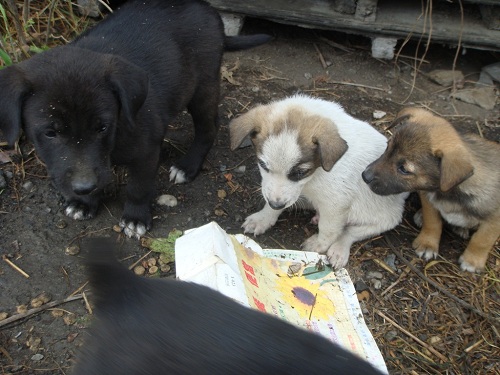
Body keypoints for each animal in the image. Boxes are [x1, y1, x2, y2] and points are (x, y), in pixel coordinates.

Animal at [0, 0, 272, 239]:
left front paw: (135, 217)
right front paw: (84, 202)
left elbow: (139, 187)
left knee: (209, 126)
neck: (117, 135)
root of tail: (207, 8)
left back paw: (188, 166)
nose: (84, 186)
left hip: (203, 85)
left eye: (102, 127)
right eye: (50, 133)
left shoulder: (146, 151)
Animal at [229, 94, 408, 270]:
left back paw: (338, 250)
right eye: (263, 165)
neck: (314, 176)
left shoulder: (336, 204)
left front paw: (319, 245)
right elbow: (271, 202)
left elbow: (329, 229)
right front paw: (263, 218)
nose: (276, 205)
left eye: (300, 172)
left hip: (385, 220)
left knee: (348, 232)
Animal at [364, 108, 500, 274]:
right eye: (387, 148)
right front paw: (427, 244)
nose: (364, 175)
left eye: (404, 169)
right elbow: (432, 222)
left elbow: (482, 240)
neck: (450, 194)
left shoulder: (494, 220)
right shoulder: (428, 199)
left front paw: (472, 261)